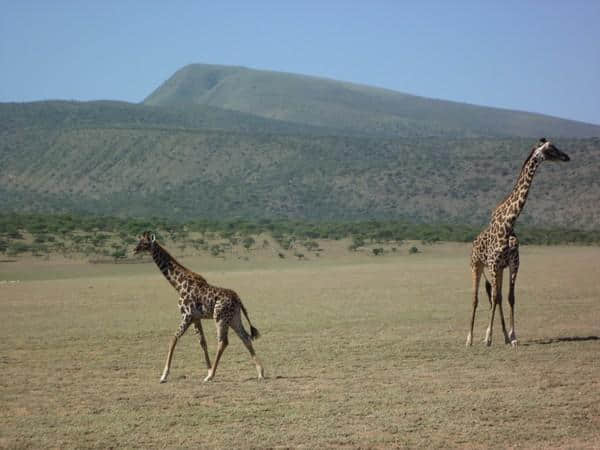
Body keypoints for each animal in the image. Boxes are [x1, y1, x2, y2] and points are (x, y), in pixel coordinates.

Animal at [136, 232, 268, 384]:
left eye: (145, 243)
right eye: (139, 241)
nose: (135, 249)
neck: (178, 285)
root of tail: (238, 299)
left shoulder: (186, 315)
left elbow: (173, 339)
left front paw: (164, 376)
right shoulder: (196, 318)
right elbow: (202, 342)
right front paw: (209, 370)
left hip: (220, 317)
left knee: (223, 341)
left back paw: (211, 377)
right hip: (234, 318)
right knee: (245, 337)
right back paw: (260, 373)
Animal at [466, 137, 568, 348]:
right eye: (551, 149)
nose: (566, 157)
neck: (509, 222)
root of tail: (474, 242)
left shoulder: (513, 263)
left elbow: (510, 297)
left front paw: (512, 336)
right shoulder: (493, 264)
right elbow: (494, 297)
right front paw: (489, 338)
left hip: (497, 270)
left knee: (497, 297)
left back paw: (502, 336)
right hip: (477, 266)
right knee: (476, 298)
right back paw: (470, 339)